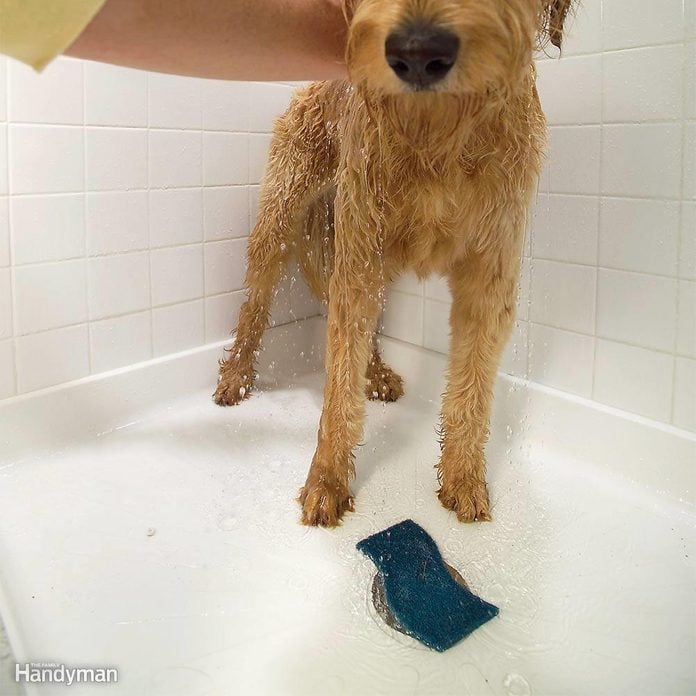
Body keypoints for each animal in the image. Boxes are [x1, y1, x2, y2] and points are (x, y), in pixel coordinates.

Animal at [216, 0, 572, 520]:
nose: (418, 53)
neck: (436, 135)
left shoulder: (490, 271)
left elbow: (473, 386)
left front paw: (465, 477)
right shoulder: (360, 248)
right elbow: (339, 381)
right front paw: (326, 480)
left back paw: (379, 374)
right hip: (281, 220)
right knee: (255, 306)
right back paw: (237, 377)